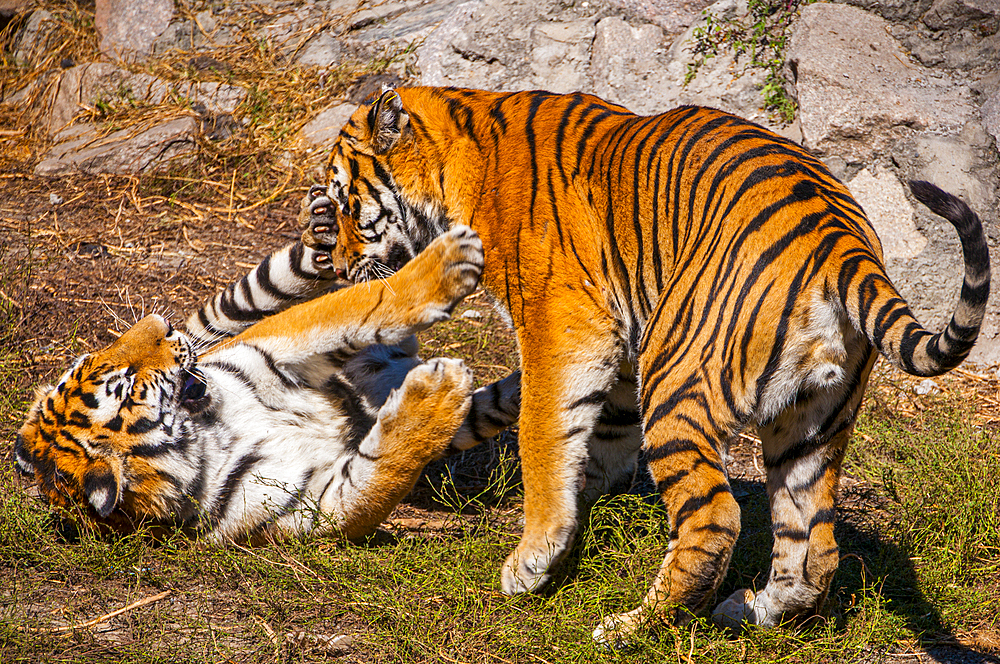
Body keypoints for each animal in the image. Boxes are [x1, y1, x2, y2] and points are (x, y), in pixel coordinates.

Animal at [13, 226, 524, 544]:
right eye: (126, 384)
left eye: (98, 358)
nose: (161, 324)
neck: (211, 434)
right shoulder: (315, 506)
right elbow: (383, 474)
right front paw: (438, 392)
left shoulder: (271, 346)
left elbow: (365, 306)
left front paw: (447, 262)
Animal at [300, 87, 988, 640]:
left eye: (343, 202)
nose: (338, 268)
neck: (463, 161)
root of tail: (840, 240)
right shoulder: (619, 345)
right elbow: (574, 421)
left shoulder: (565, 324)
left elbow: (543, 430)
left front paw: (535, 558)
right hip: (811, 420)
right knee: (813, 544)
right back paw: (752, 612)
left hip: (678, 375)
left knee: (715, 519)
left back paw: (633, 626)